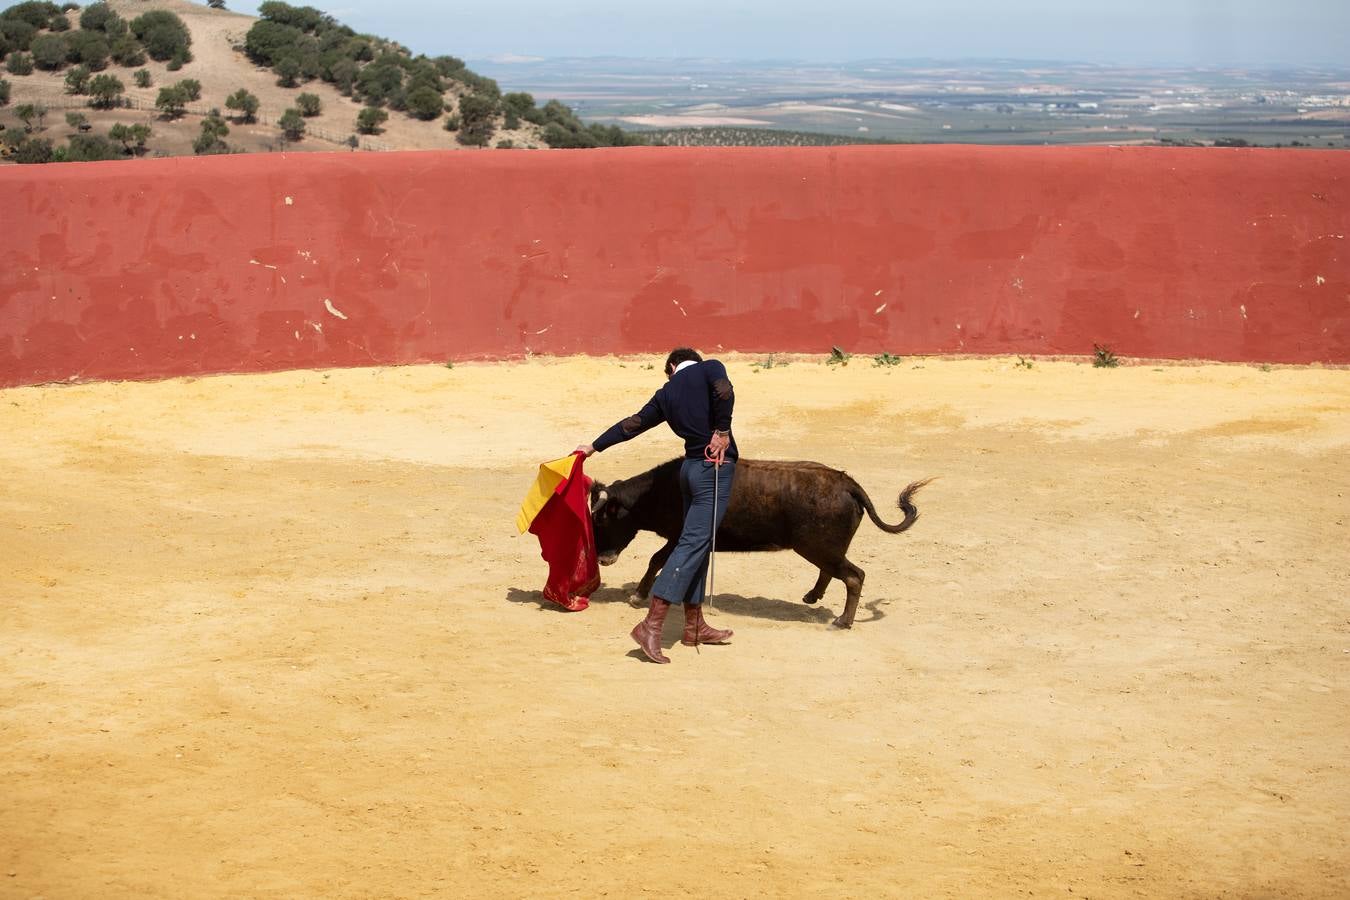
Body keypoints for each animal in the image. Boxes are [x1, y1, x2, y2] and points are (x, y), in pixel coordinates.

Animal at [591, 458, 928, 626]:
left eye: (602, 520)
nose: (601, 559)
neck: (659, 490)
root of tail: (848, 483)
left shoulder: (679, 536)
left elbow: (657, 560)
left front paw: (637, 596)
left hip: (817, 547)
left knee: (854, 576)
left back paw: (843, 620)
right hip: (824, 548)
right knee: (834, 571)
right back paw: (812, 597)